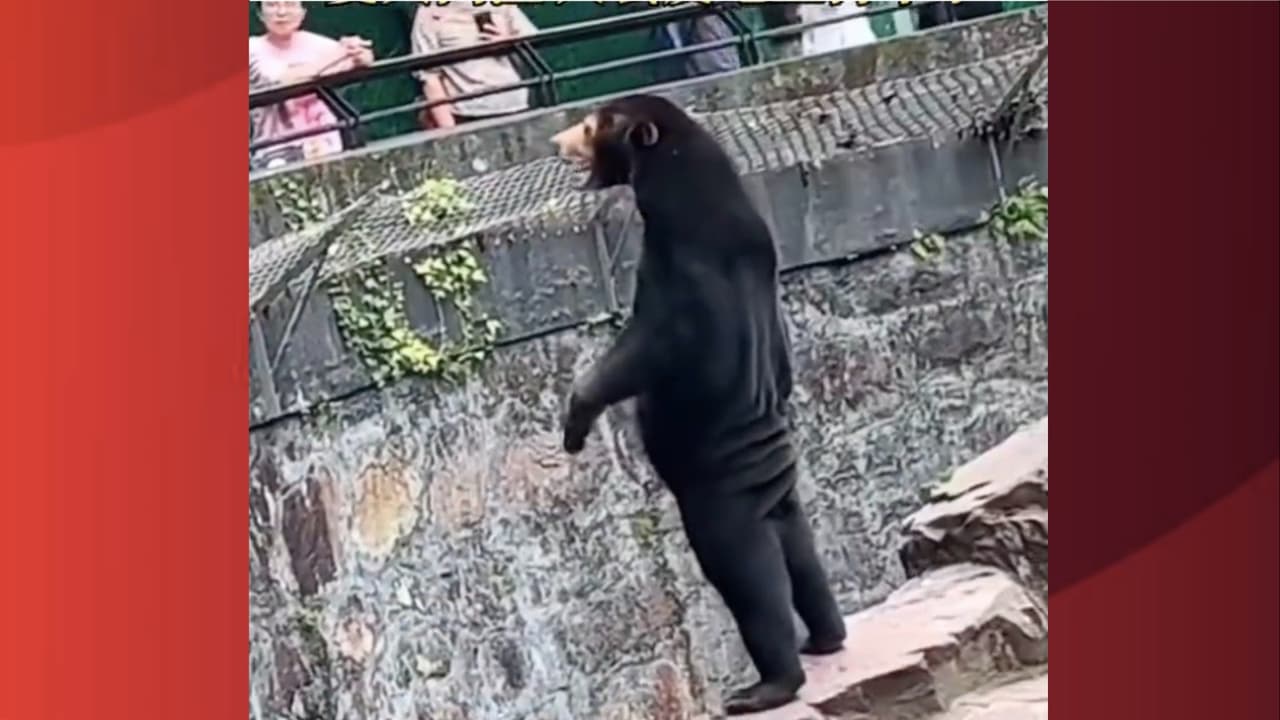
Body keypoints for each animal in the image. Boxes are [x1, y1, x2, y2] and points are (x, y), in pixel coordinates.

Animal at [551, 94, 847, 716]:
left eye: (590, 125)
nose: (556, 141)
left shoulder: (679, 268)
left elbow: (646, 349)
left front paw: (575, 420)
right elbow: (781, 357)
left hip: (719, 499)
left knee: (747, 575)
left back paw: (767, 685)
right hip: (780, 498)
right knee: (801, 552)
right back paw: (826, 637)